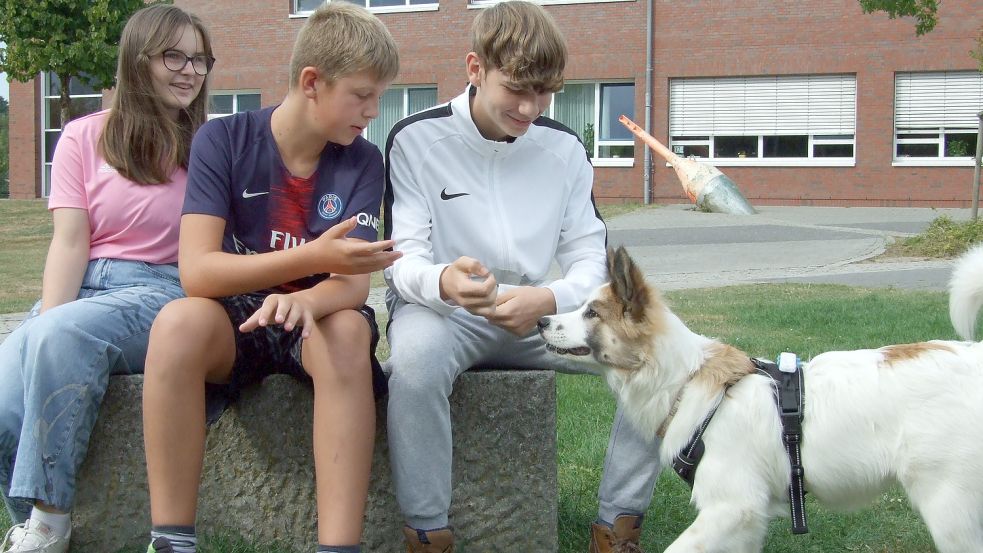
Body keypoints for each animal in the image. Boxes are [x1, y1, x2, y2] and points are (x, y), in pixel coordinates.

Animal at [540, 246, 983, 552]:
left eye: (592, 313)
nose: (542, 320)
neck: (685, 378)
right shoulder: (744, 522)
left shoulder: (732, 506)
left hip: (949, 509)